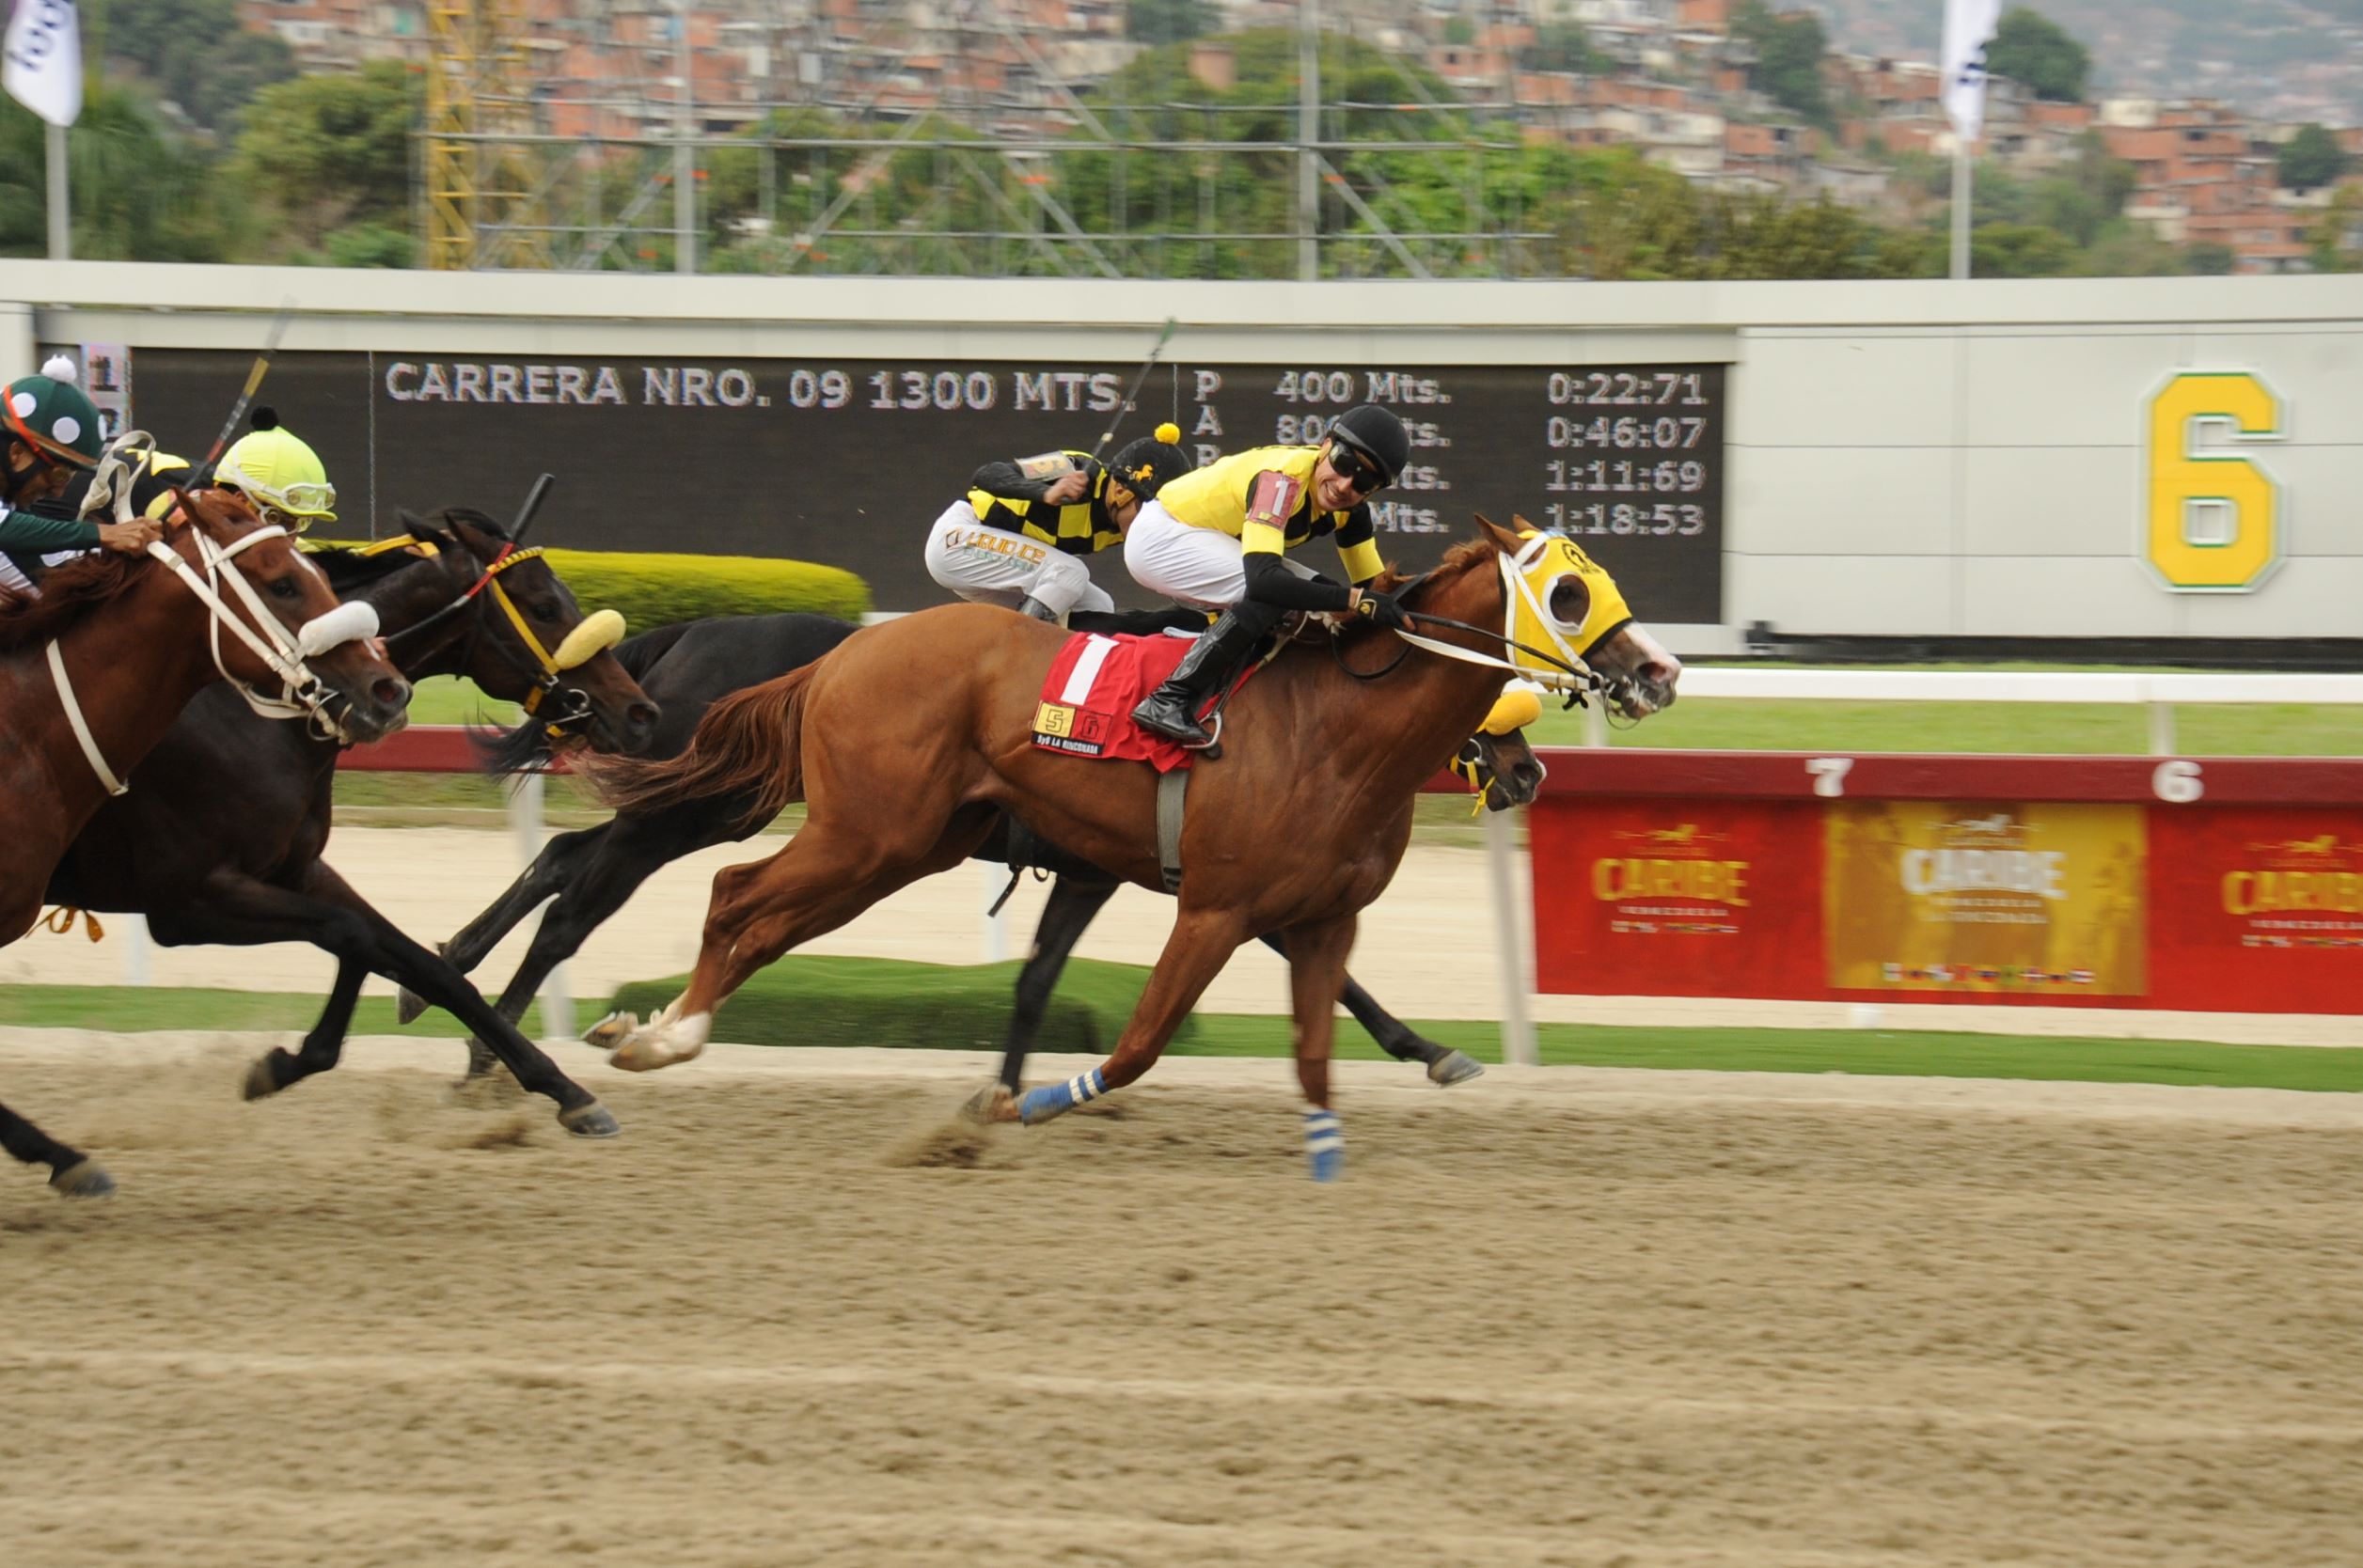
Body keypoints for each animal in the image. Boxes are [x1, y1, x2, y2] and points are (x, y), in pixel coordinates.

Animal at [42, 508, 658, 1134]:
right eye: (544, 607)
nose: (640, 712)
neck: (253, 714)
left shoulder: (298, 869)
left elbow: (417, 962)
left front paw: (563, 1088)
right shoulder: (186, 900)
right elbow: (356, 935)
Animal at [412, 612, 1545, 1094]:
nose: (1529, 769)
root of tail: (678, 635)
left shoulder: (1117, 865)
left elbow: (1044, 977)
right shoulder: (1194, 865)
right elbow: (1322, 968)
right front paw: (1428, 1047)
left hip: (711, 806)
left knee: (570, 863)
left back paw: (468, 998)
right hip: (712, 807)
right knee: (583, 893)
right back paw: (491, 1031)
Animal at [587, 517, 1680, 1179]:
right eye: (1568, 596)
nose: (1659, 673)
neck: (1337, 726)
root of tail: (844, 652)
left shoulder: (1298, 910)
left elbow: (1311, 1045)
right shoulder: (1214, 903)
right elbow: (1141, 1039)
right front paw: (1016, 1105)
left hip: (903, 845)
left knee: (751, 914)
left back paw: (641, 1032)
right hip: (857, 830)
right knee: (725, 893)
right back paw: (654, 1038)